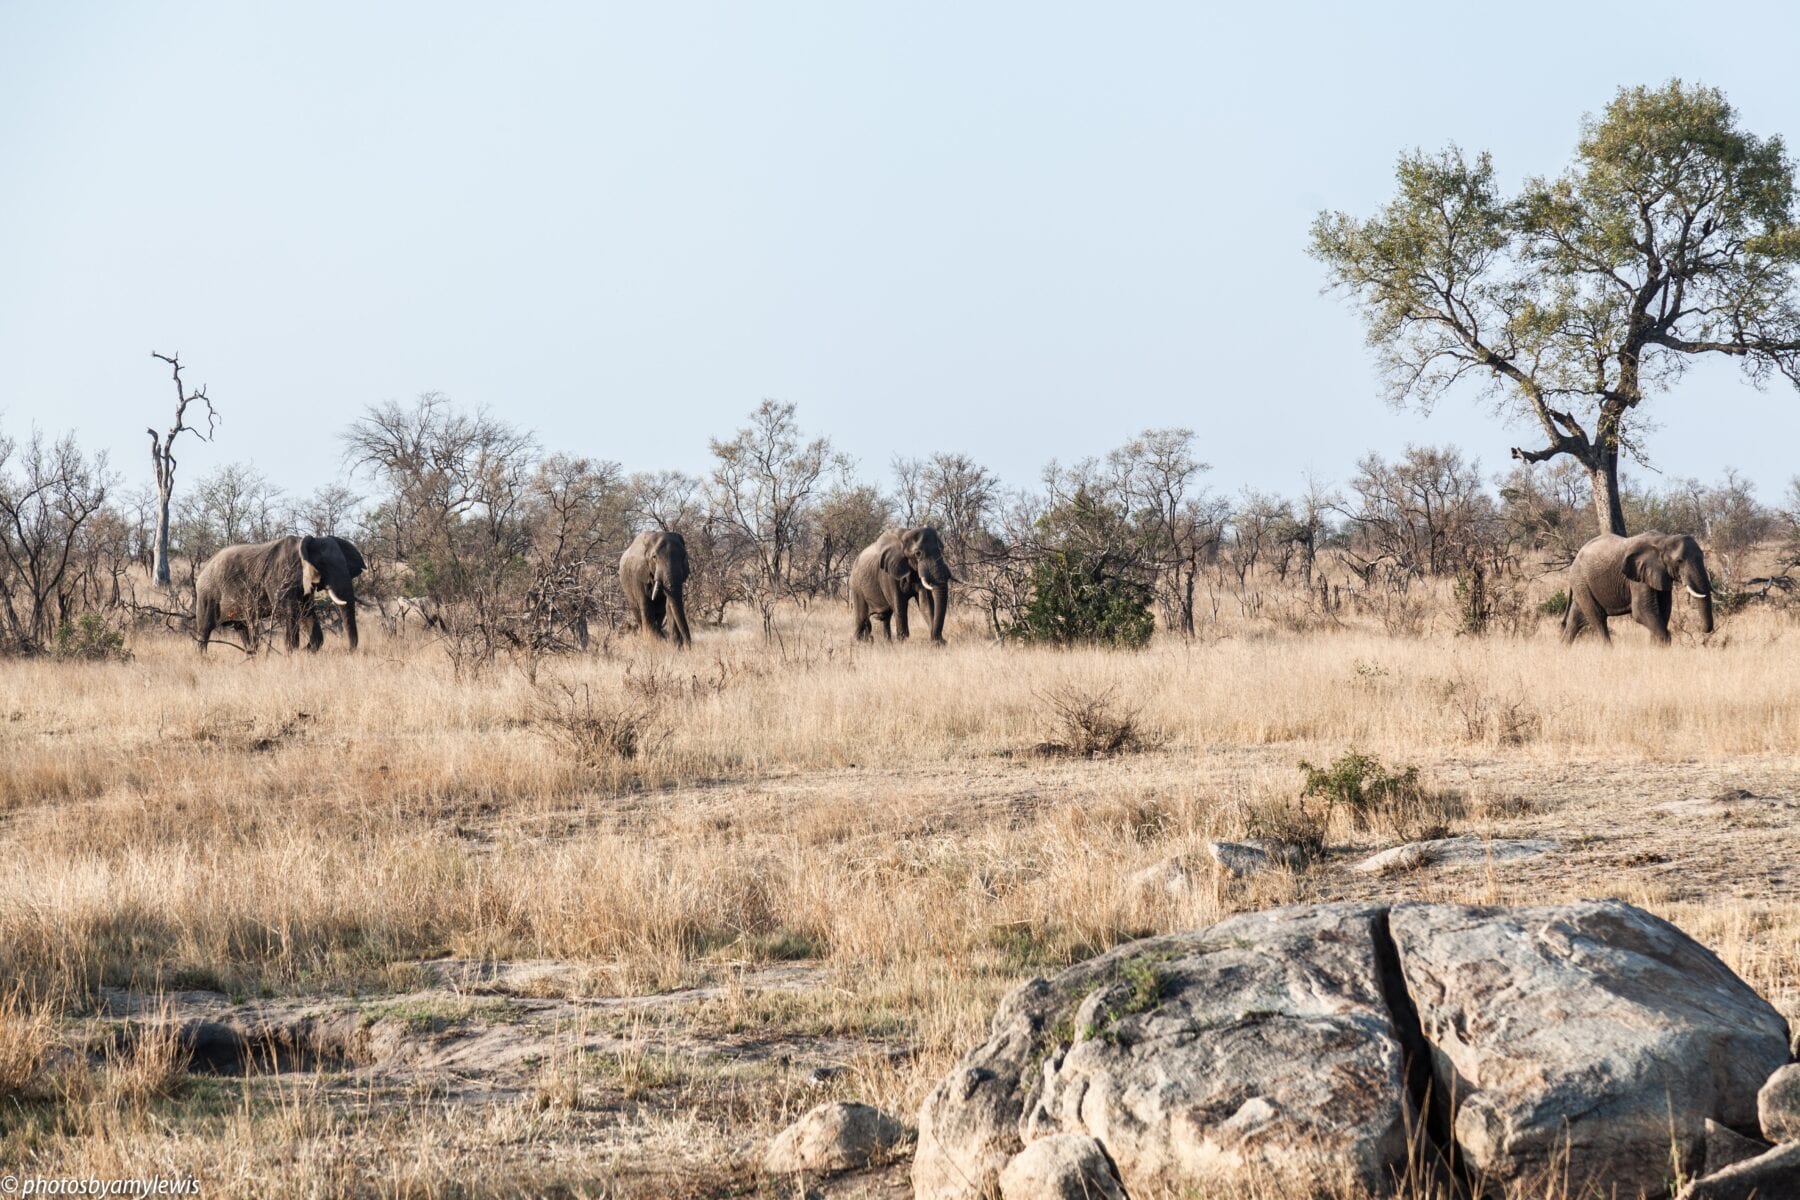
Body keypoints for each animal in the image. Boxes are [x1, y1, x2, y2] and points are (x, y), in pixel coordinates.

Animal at [195, 536, 363, 651]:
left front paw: (306, 651)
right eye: (323, 564)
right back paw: (203, 659)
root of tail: (203, 568)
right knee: (204, 630)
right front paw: (294, 653)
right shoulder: (280, 577)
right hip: (207, 594)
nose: (348, 650)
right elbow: (289, 611)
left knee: (242, 628)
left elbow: (306, 612)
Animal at [1562, 532, 1713, 647]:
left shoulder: (1660, 573)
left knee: (1577, 618)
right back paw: (1607, 650)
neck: (1663, 540)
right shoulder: (1637, 577)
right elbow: (1641, 610)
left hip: (1581, 584)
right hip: (1581, 581)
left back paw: (1564, 649)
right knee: (1597, 617)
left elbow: (1664, 609)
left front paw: (1655, 647)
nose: (1701, 629)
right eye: (1679, 561)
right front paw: (1662, 645)